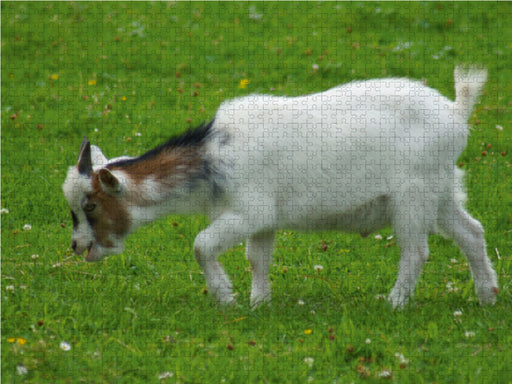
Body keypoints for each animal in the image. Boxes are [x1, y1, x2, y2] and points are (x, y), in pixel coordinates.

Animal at [62, 67, 498, 308]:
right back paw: (487, 295)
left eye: (92, 205)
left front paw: (226, 297)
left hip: (413, 194)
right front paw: (260, 303)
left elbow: (202, 245)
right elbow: (258, 258)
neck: (213, 155)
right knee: (471, 232)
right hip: (441, 189)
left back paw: (394, 303)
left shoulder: (249, 210)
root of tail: (456, 112)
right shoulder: (264, 219)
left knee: (416, 251)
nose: (78, 246)